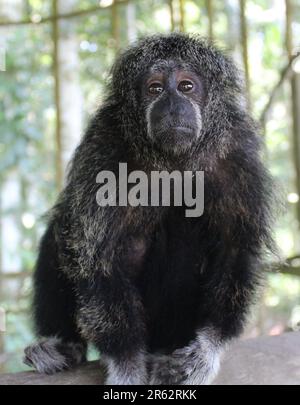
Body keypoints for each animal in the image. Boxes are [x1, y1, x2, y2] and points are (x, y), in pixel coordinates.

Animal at [24, 33, 274, 384]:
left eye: (186, 86)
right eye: (155, 88)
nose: (172, 105)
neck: (171, 161)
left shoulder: (236, 154)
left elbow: (235, 248)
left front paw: (208, 348)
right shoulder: (104, 150)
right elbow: (97, 258)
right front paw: (126, 363)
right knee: (60, 232)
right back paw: (63, 345)